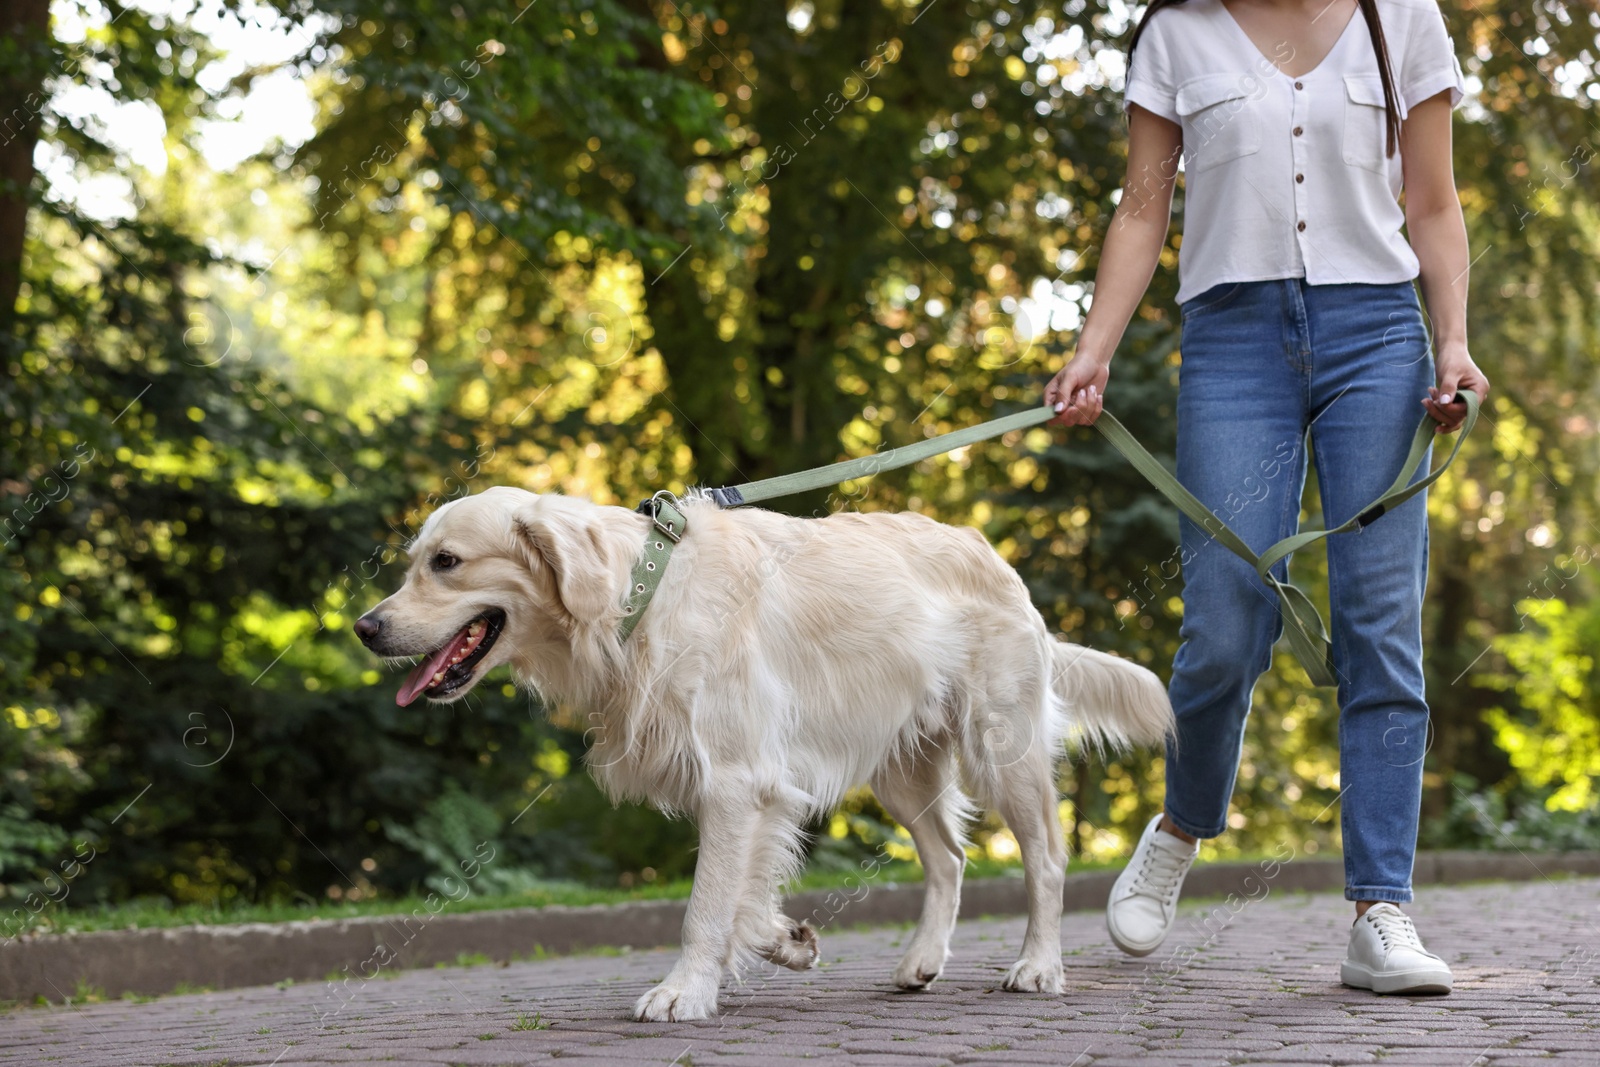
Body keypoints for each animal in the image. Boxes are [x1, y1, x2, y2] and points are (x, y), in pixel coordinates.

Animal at [356, 489, 1171, 1023]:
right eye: (414, 562)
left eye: (448, 561)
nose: (365, 626)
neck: (641, 596)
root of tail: (998, 562)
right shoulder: (750, 790)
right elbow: (742, 899)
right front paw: (786, 940)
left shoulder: (737, 780)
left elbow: (705, 905)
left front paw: (684, 992)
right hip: (901, 769)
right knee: (949, 856)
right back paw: (921, 960)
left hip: (1003, 748)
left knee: (1046, 859)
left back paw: (1039, 965)